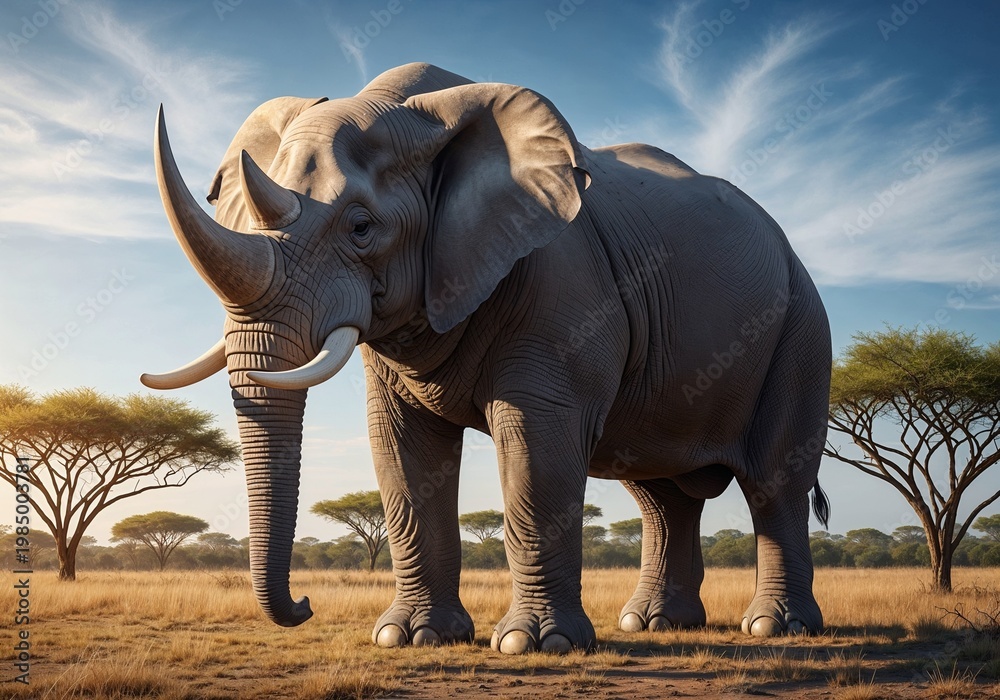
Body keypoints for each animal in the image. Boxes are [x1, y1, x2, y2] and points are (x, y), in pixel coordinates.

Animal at [141, 62, 831, 654]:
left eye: (362, 228)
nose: (306, 605)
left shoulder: (562, 285)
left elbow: (536, 443)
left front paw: (535, 646)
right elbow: (402, 451)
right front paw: (411, 639)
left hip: (800, 326)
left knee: (772, 480)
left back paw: (776, 630)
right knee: (661, 495)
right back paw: (655, 625)